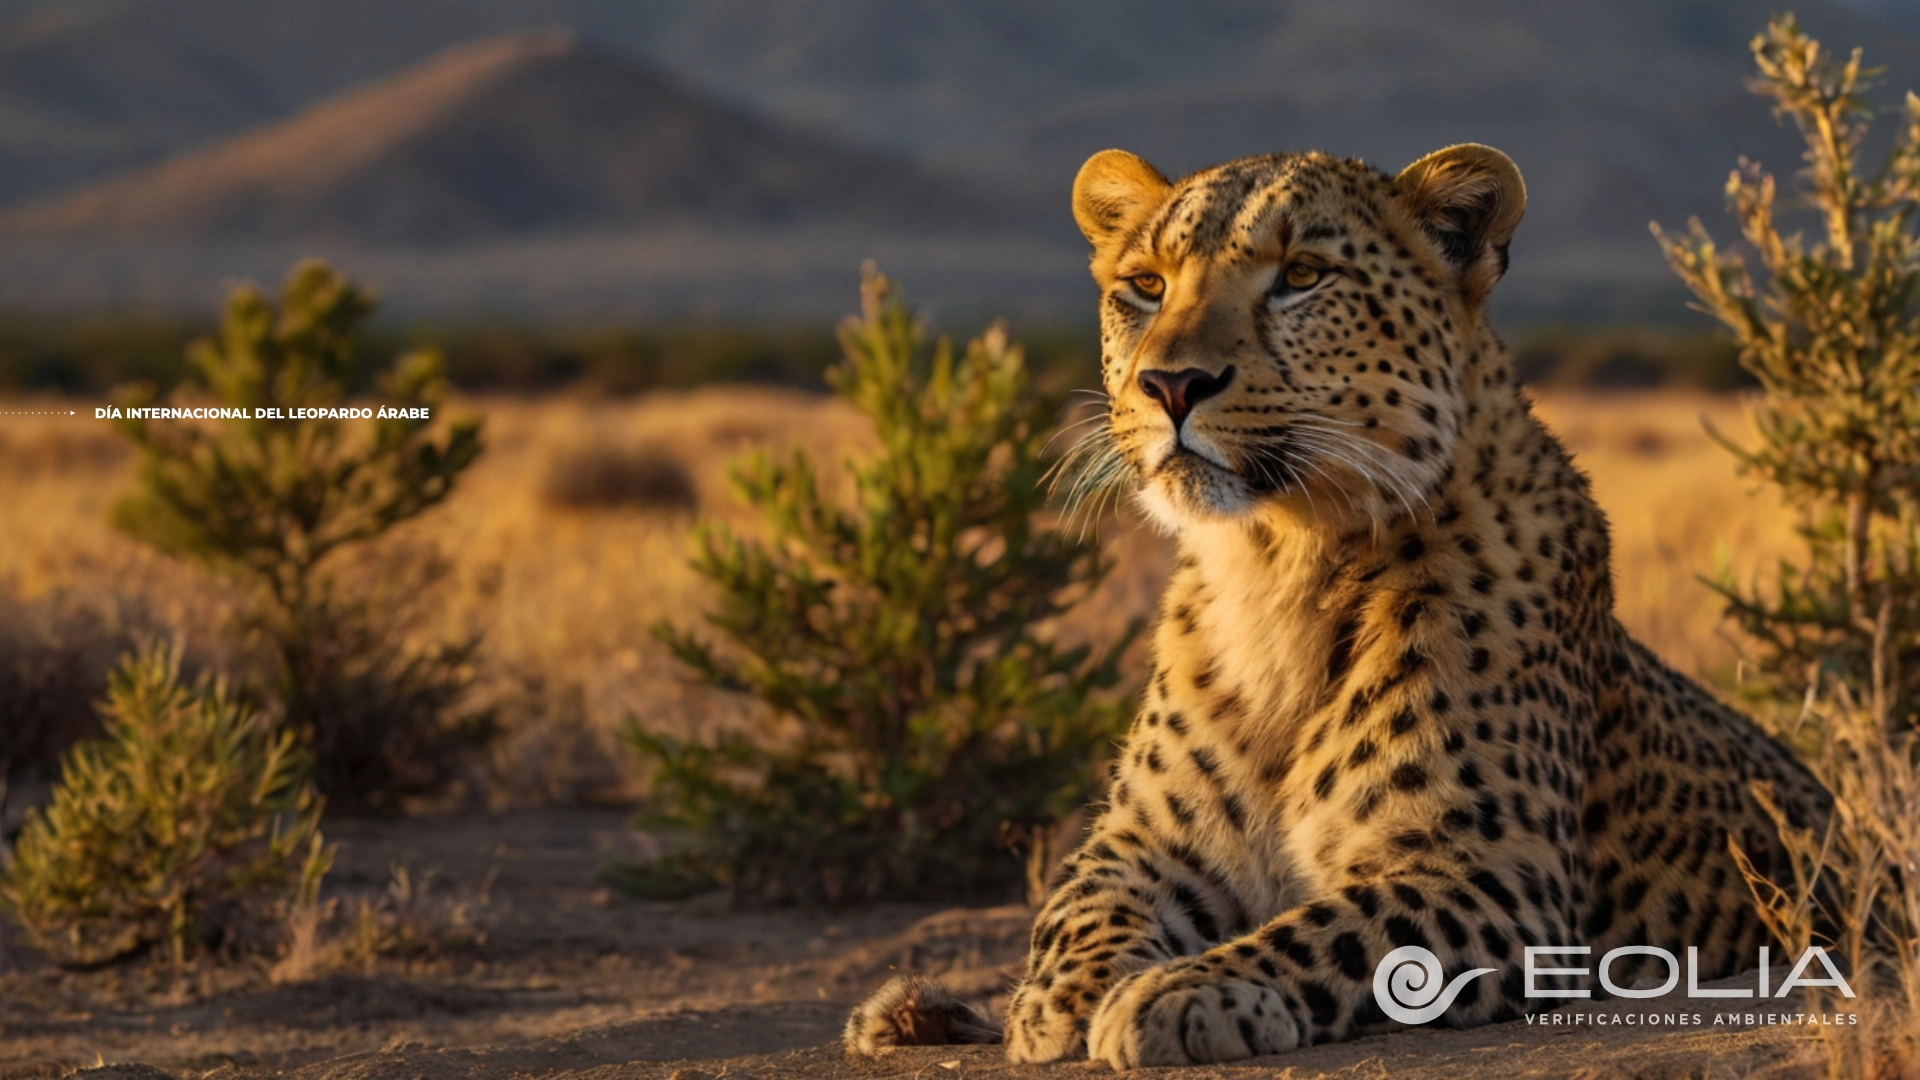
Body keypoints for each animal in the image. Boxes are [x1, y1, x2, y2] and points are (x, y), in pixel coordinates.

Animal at [844, 143, 1827, 1068]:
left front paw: (1183, 993)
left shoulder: (1488, 875)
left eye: (1302, 276)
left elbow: (1333, 932)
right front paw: (1065, 998)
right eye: (1145, 286)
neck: (1279, 562)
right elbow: (1078, 908)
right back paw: (910, 1011)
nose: (1170, 386)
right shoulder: (1141, 840)